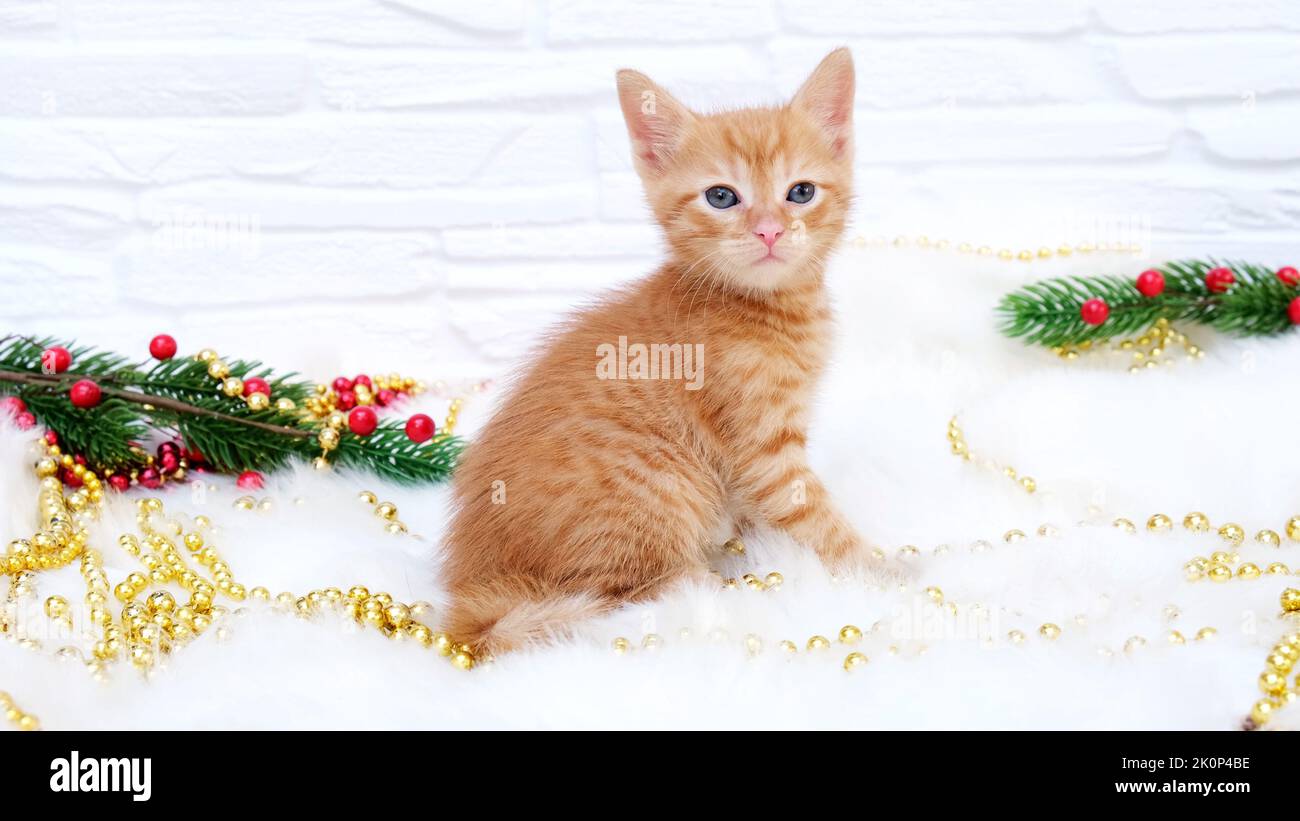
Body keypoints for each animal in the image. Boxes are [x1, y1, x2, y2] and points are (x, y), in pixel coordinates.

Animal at [441, 49, 868, 654]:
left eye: (801, 192)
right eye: (721, 196)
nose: (768, 232)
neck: (764, 309)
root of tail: (472, 591)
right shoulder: (764, 452)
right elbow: (815, 518)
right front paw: (890, 573)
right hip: (657, 489)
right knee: (630, 592)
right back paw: (716, 585)